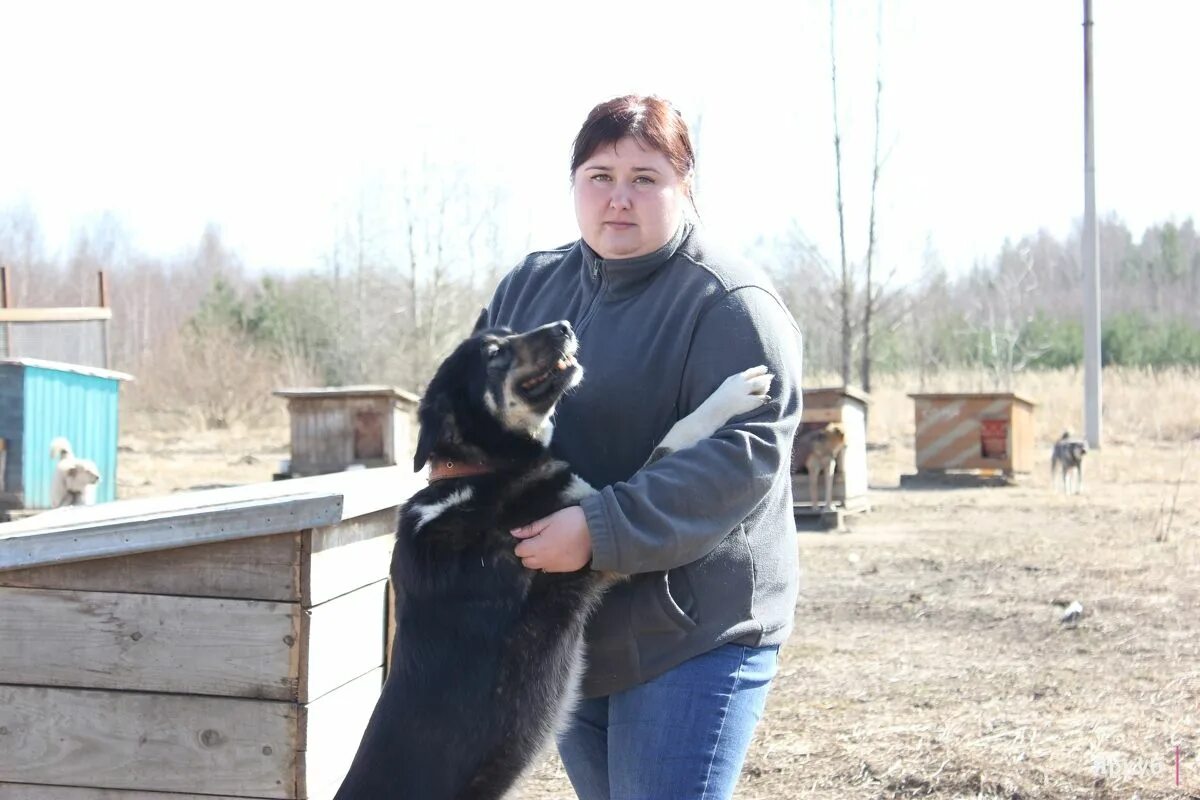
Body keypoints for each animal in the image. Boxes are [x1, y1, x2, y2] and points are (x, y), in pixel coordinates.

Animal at [338, 314, 768, 800]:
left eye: (510, 330)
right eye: (495, 353)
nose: (563, 325)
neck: (482, 472)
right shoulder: (593, 550)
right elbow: (672, 440)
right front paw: (732, 393)